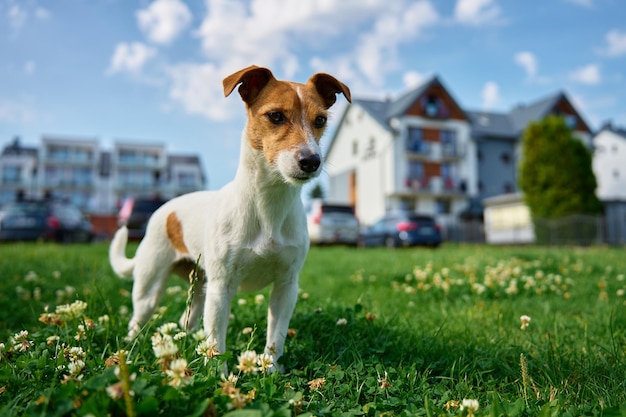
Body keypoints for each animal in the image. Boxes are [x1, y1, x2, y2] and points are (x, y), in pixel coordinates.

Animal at [109, 66, 348, 370]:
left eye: (320, 120)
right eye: (276, 116)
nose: (311, 161)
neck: (268, 206)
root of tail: (165, 208)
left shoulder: (286, 287)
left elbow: (276, 336)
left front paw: (270, 368)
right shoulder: (221, 287)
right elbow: (216, 344)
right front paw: (218, 375)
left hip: (200, 287)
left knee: (188, 319)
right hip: (150, 285)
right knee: (139, 318)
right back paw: (129, 347)